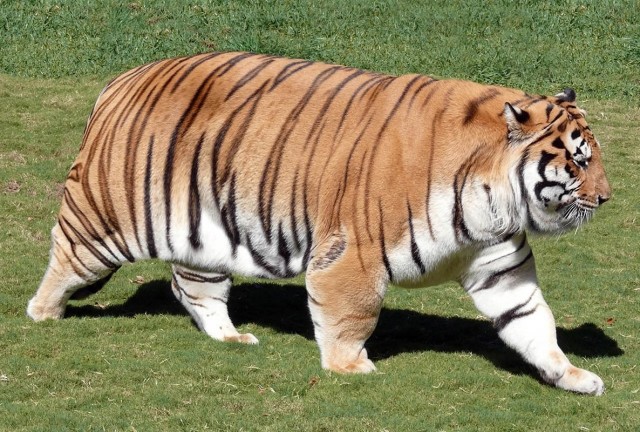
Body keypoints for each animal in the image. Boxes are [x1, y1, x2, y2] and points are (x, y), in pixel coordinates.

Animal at [27, 51, 611, 395]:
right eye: (579, 161)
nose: (606, 198)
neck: (495, 197)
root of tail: (121, 79)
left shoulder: (500, 266)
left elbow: (533, 322)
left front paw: (572, 375)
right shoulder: (353, 253)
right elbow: (352, 313)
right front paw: (349, 367)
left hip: (204, 237)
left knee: (193, 287)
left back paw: (231, 337)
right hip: (105, 218)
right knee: (65, 256)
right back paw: (43, 313)